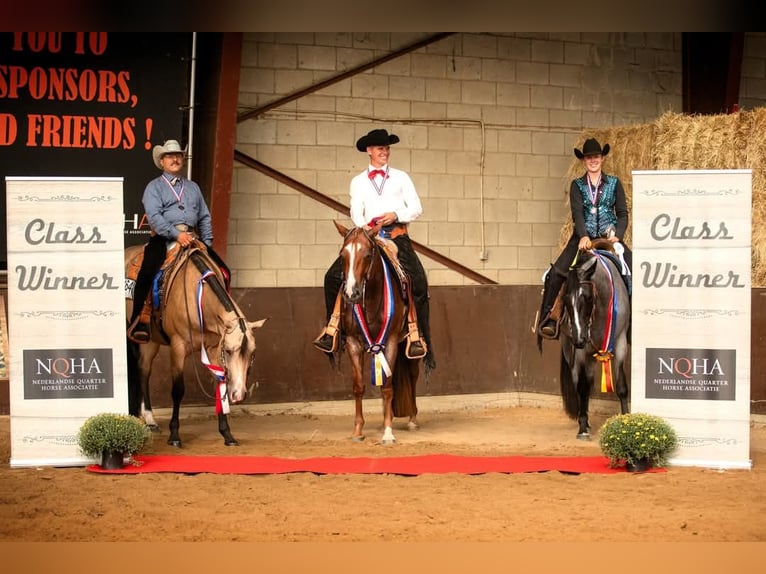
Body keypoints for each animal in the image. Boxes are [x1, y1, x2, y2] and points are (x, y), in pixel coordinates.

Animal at [124, 243, 268, 450]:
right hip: (144, 339)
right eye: (229, 351)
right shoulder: (178, 347)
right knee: (143, 371)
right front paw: (174, 435)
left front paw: (227, 434)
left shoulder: (213, 347)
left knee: (142, 371)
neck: (195, 296)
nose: (239, 394)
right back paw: (150, 419)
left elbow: (219, 384)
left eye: (253, 354)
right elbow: (178, 390)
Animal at [334, 220, 420, 446]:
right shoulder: (353, 343)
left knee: (413, 376)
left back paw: (412, 419)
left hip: (409, 349)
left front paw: (388, 433)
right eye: (343, 255)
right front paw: (357, 431)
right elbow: (358, 386)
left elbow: (387, 387)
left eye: (367, 255)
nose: (352, 294)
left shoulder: (389, 342)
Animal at [560, 244, 632, 440]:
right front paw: (583, 428)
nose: (578, 338)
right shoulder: (582, 351)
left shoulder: (620, 343)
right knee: (580, 384)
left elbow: (621, 386)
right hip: (574, 354)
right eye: (565, 299)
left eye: (587, 297)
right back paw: (584, 421)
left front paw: (626, 419)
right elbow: (582, 388)